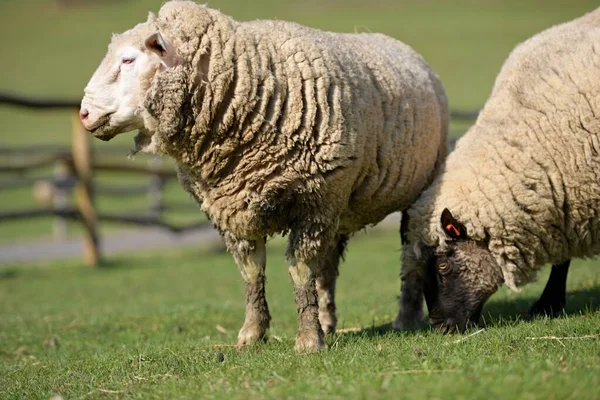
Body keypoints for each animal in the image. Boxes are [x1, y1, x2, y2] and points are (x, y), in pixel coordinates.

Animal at [79, 0, 448, 350]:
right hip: (340, 204)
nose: (84, 114)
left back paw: (405, 317)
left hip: (411, 190)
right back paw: (328, 321)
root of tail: (399, 46)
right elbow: (252, 273)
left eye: (128, 60)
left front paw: (308, 340)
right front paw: (253, 333)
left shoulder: (313, 200)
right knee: (328, 266)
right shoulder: (234, 207)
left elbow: (300, 271)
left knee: (410, 256)